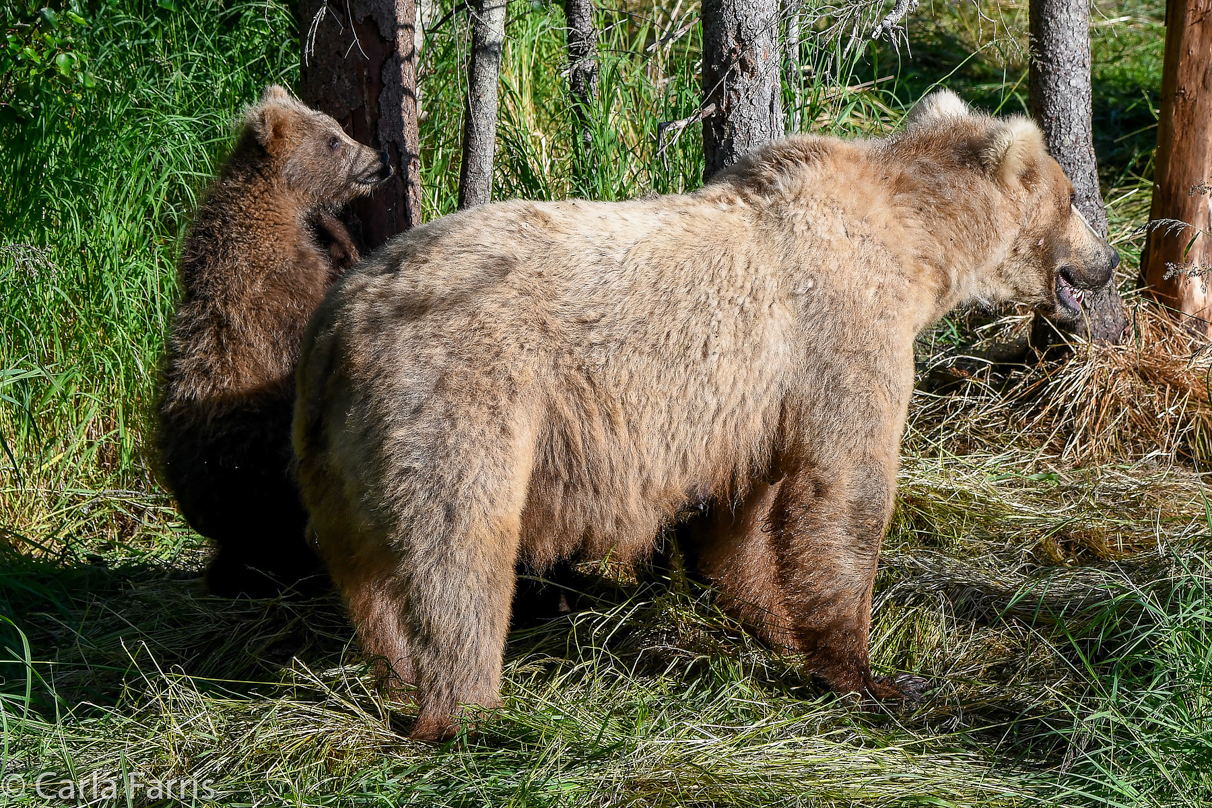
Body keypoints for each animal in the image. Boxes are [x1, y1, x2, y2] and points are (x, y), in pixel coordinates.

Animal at [290, 91, 1115, 741]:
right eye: (1075, 195)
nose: (1106, 263)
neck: (916, 243)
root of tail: (344, 319)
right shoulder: (840, 333)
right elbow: (843, 492)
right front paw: (869, 673)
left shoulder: (751, 403)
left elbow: (742, 513)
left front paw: (773, 622)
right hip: (459, 392)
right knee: (459, 546)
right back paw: (467, 707)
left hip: (331, 438)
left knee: (360, 561)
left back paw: (395, 673)